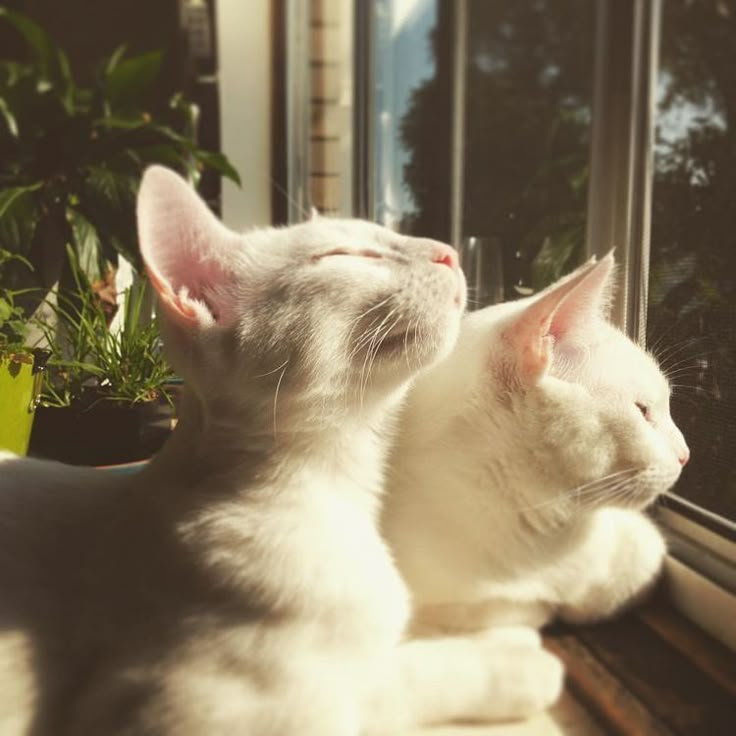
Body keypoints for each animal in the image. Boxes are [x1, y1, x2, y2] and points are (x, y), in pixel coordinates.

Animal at [0, 167, 560, 736]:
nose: (447, 251)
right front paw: (516, 663)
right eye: (343, 254)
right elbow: (386, 686)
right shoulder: (172, 711)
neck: (338, 492)